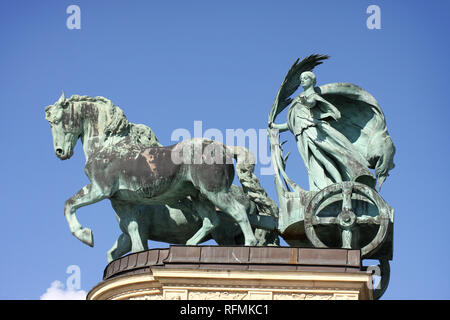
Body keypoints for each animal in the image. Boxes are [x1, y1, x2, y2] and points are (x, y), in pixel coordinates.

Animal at [45, 92, 278, 248]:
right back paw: (188, 245)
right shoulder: (120, 200)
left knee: (237, 213)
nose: (60, 152)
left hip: (215, 193)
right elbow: (133, 231)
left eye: (57, 120)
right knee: (211, 220)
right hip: (199, 197)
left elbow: (69, 204)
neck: (107, 145)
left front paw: (86, 235)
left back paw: (249, 245)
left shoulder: (99, 189)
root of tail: (226, 148)